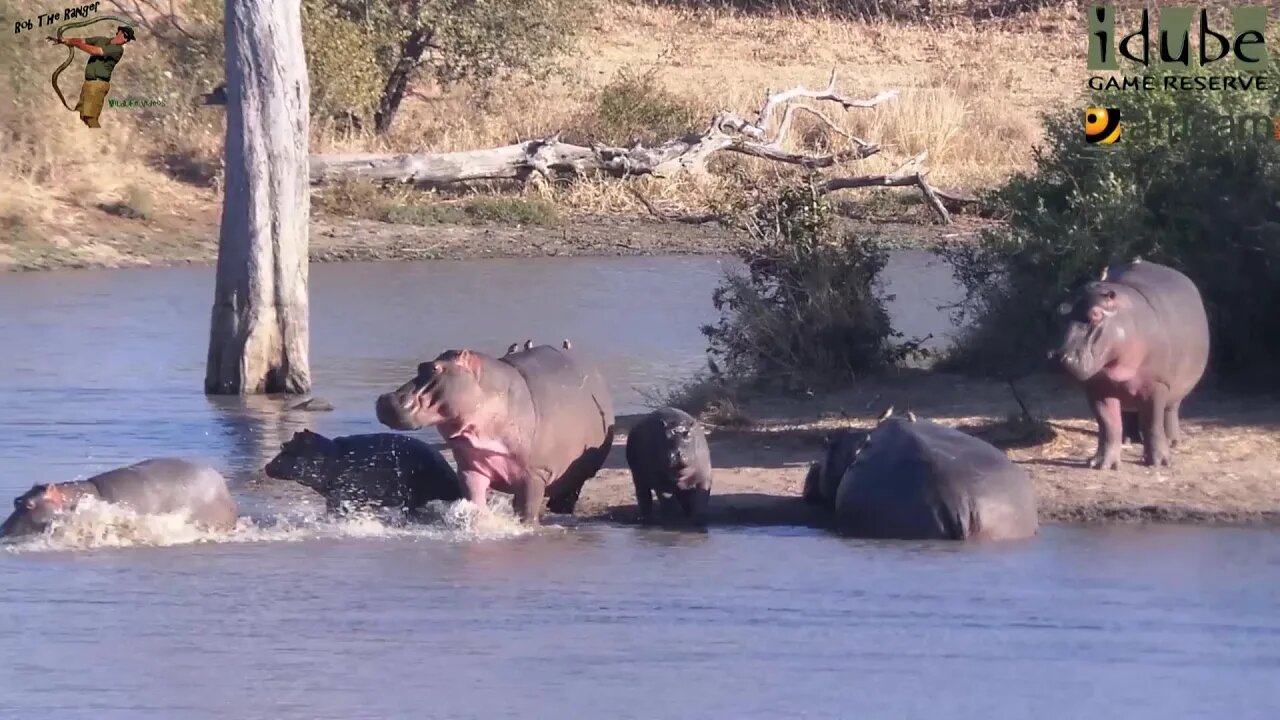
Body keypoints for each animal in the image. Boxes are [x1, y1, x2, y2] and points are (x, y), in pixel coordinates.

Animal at [373, 340, 614, 520]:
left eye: (435, 368)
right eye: (420, 366)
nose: (385, 398)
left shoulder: (535, 473)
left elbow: (526, 509)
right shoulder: (470, 467)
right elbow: (475, 499)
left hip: (581, 473)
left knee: (569, 493)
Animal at [1049, 257, 1208, 471]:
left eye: (1096, 314)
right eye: (1060, 311)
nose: (1058, 356)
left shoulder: (1157, 385)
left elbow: (1152, 423)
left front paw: (1159, 462)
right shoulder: (1098, 387)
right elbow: (1108, 425)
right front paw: (1101, 464)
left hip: (1176, 387)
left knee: (1170, 411)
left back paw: (1173, 441)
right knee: (1129, 415)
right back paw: (1129, 440)